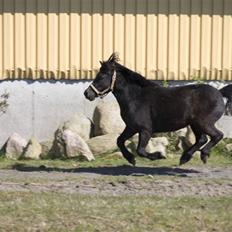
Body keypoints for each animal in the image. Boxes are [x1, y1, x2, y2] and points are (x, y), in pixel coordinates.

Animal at [84, 53, 232, 165]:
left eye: (102, 76)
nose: (87, 93)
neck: (136, 97)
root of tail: (219, 93)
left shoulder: (145, 129)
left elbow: (140, 150)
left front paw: (159, 155)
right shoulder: (131, 127)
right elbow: (119, 141)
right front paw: (131, 159)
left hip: (203, 123)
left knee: (217, 135)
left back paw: (203, 155)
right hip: (195, 124)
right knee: (202, 139)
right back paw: (185, 158)